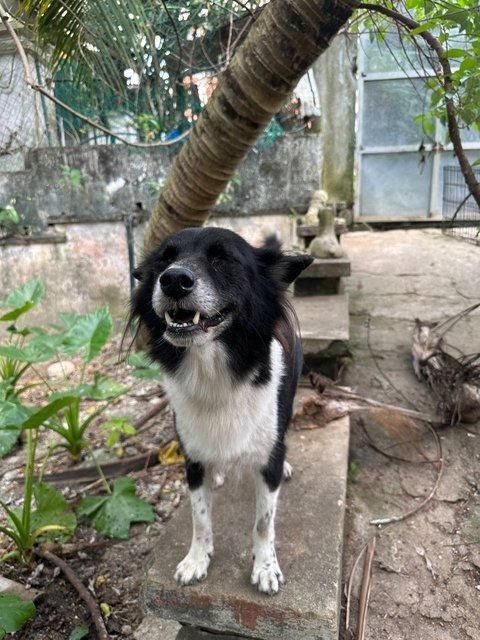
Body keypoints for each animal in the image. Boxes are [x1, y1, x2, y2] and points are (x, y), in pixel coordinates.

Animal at [129, 226, 314, 596]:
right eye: (164, 259)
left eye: (224, 259)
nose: (173, 280)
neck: (212, 372)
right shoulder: (192, 456)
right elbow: (199, 516)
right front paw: (197, 559)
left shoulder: (267, 456)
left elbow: (263, 522)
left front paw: (265, 567)